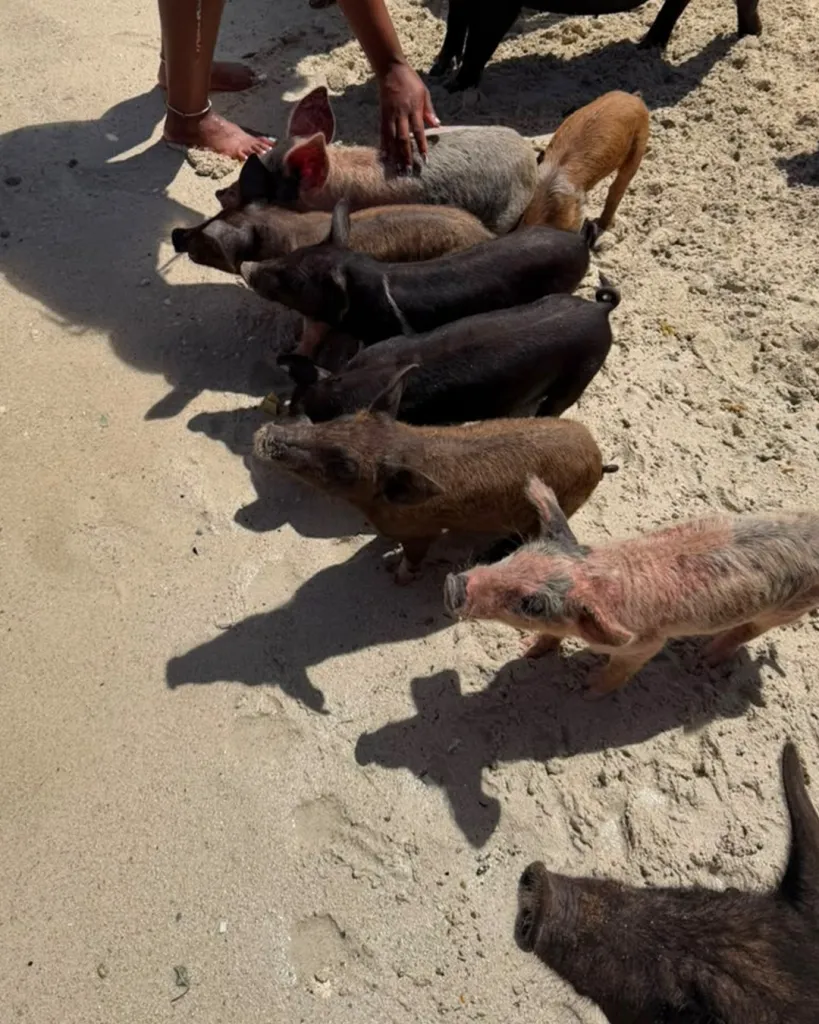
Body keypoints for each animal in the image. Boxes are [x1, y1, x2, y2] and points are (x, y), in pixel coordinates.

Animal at [252, 403, 614, 581]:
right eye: (343, 417)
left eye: (345, 467)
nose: (265, 434)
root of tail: (599, 461)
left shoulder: (423, 533)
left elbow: (412, 559)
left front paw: (396, 577)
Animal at [431, 0, 761, 92]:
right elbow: (456, 25)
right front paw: (437, 73)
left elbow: (480, 42)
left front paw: (455, 88)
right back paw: (645, 46)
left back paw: (751, 36)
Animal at [444, 479, 819, 698]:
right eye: (518, 553)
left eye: (532, 604)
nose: (452, 585)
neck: (599, 573)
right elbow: (548, 638)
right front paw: (526, 651)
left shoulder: (644, 643)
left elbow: (620, 670)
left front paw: (584, 691)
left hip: (789, 608)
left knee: (749, 631)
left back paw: (703, 660)